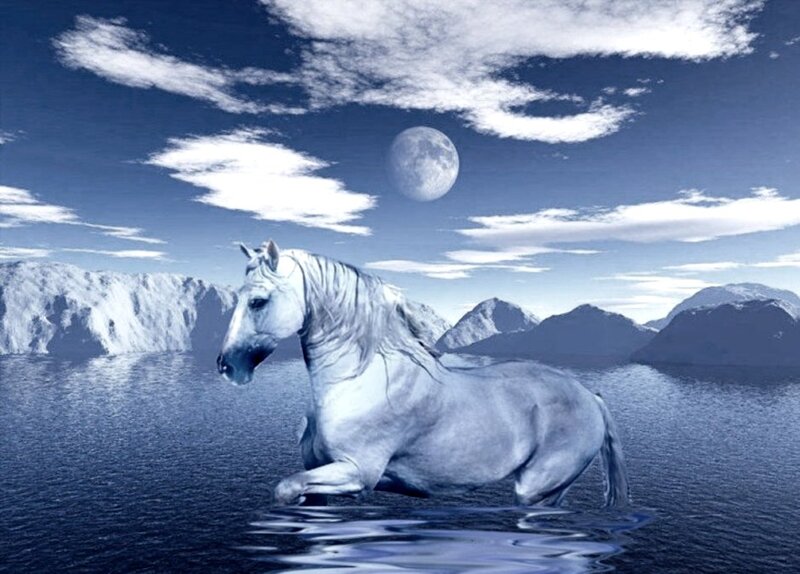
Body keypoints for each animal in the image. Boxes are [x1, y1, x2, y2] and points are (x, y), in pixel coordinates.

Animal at [217, 241, 630, 507]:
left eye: (258, 301)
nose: (227, 365)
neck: (358, 382)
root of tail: (590, 396)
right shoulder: (321, 475)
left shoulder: (357, 472)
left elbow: (285, 489)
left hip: (538, 489)